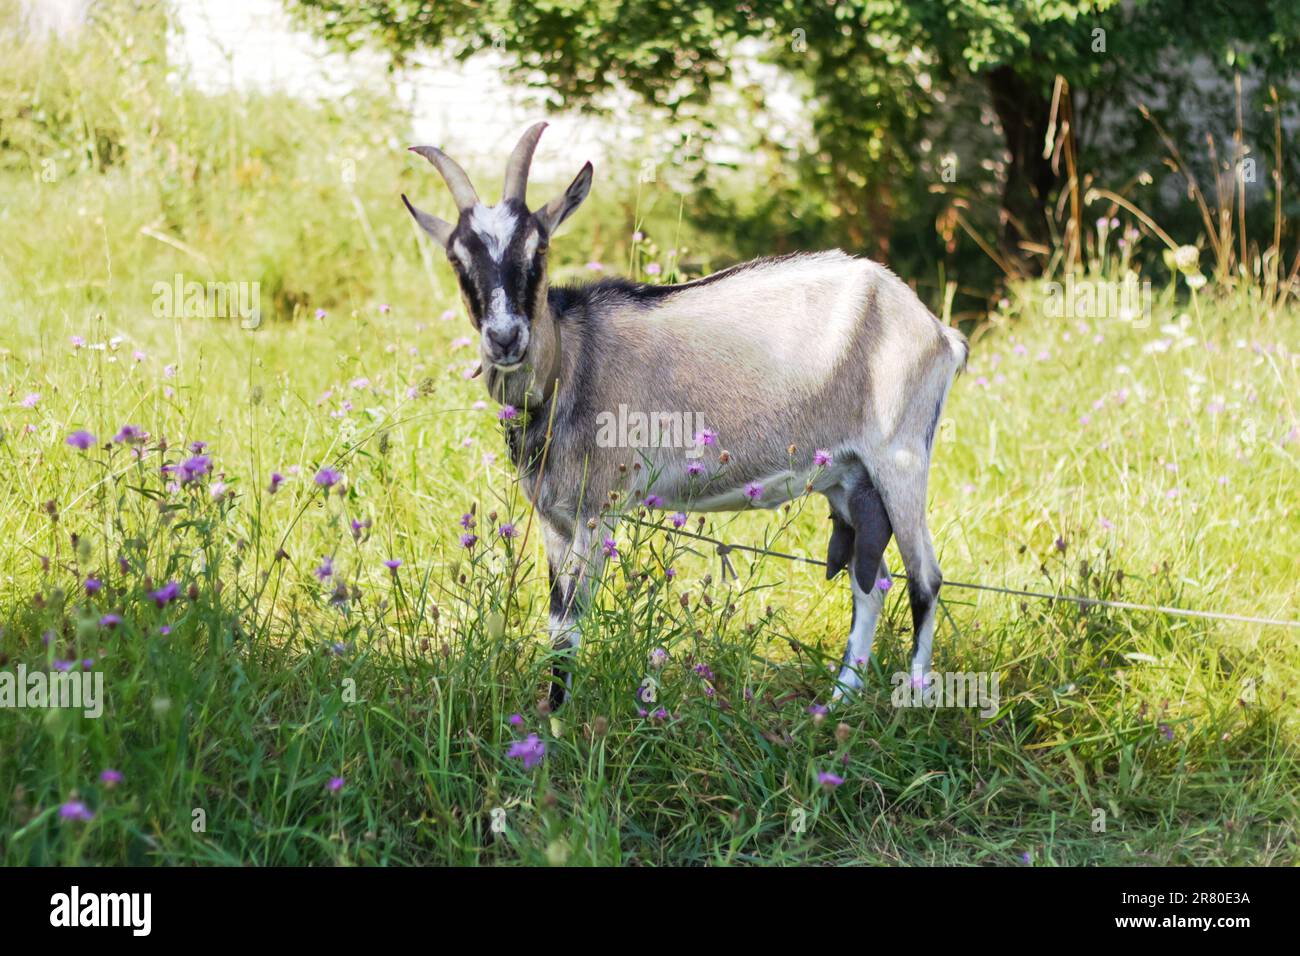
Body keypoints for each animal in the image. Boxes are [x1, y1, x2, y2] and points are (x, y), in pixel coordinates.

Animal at [403, 123, 967, 712]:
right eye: (457, 258)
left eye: (539, 247)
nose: (505, 337)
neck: (575, 361)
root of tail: (937, 331)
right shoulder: (554, 517)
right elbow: (557, 622)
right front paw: (546, 719)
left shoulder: (595, 511)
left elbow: (572, 627)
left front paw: (557, 724)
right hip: (848, 477)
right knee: (870, 580)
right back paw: (835, 702)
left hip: (901, 457)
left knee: (925, 579)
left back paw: (916, 699)